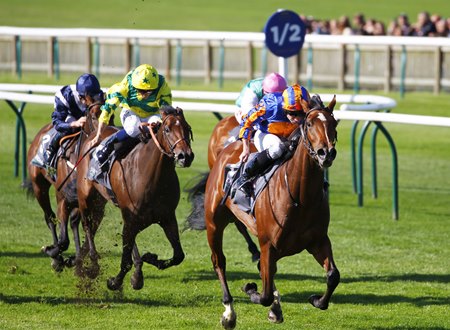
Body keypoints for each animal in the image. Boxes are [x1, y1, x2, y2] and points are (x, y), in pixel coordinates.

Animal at [24, 102, 106, 272]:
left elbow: (83, 228)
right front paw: (53, 252)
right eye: (94, 116)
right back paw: (57, 258)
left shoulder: (90, 201)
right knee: (50, 217)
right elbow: (63, 239)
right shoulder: (62, 197)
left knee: (74, 222)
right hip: (39, 187)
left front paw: (75, 259)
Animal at [76, 105, 195, 288]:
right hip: (85, 195)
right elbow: (125, 260)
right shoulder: (131, 218)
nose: (185, 156)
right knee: (87, 224)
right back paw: (93, 263)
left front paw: (150, 259)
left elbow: (178, 256)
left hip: (102, 201)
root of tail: (94, 134)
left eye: (187, 128)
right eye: (167, 129)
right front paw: (115, 282)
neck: (152, 176)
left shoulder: (167, 217)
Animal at [199, 94, 340, 328]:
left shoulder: (318, 241)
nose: (326, 153)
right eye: (309, 124)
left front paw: (317, 300)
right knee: (219, 262)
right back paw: (229, 312)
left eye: (334, 124)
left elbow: (333, 275)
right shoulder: (268, 245)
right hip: (214, 223)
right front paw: (250, 289)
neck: (301, 198)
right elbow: (263, 294)